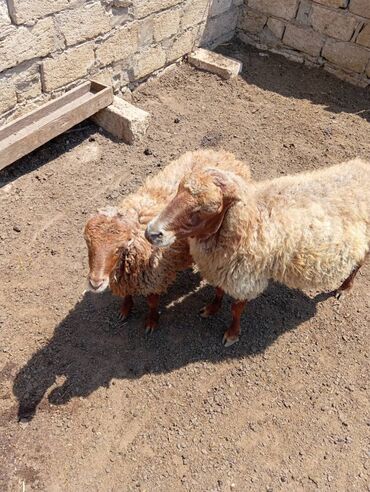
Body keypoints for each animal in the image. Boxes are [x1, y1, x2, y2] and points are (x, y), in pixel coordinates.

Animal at [84, 147, 251, 330]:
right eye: (88, 244)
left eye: (119, 248)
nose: (95, 283)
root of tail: (223, 153)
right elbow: (127, 295)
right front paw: (125, 309)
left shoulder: (156, 276)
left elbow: (152, 302)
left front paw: (151, 321)